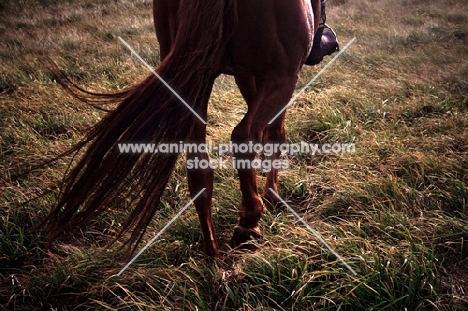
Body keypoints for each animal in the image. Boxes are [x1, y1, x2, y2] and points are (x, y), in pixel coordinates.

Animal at [43, 0, 322, 258]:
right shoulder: (273, 75)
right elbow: (275, 133)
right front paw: (273, 195)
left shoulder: (246, 74)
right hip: (281, 76)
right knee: (246, 135)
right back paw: (248, 225)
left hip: (197, 82)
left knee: (199, 166)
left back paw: (213, 253)